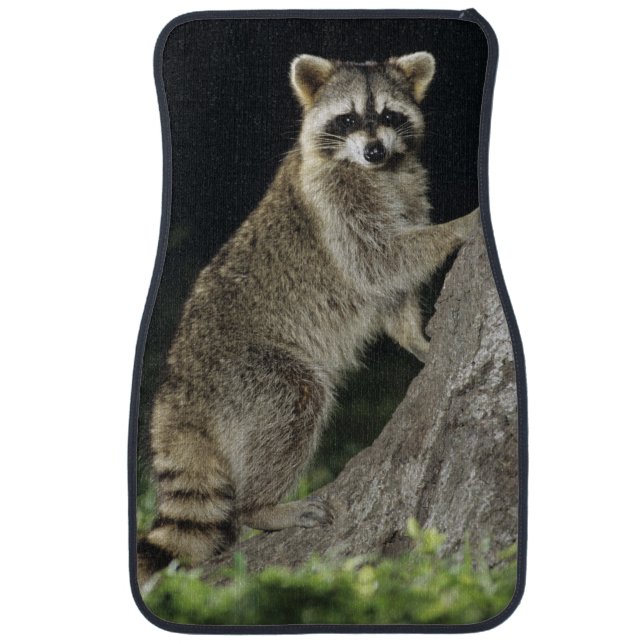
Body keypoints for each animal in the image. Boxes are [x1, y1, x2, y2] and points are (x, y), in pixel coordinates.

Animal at [137, 52, 479, 583]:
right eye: (349, 120)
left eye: (388, 115)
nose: (375, 151)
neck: (378, 172)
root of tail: (178, 390)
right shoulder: (336, 205)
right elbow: (379, 261)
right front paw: (461, 225)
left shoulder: (407, 190)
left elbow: (391, 288)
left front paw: (415, 338)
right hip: (247, 371)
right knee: (295, 400)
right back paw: (262, 507)